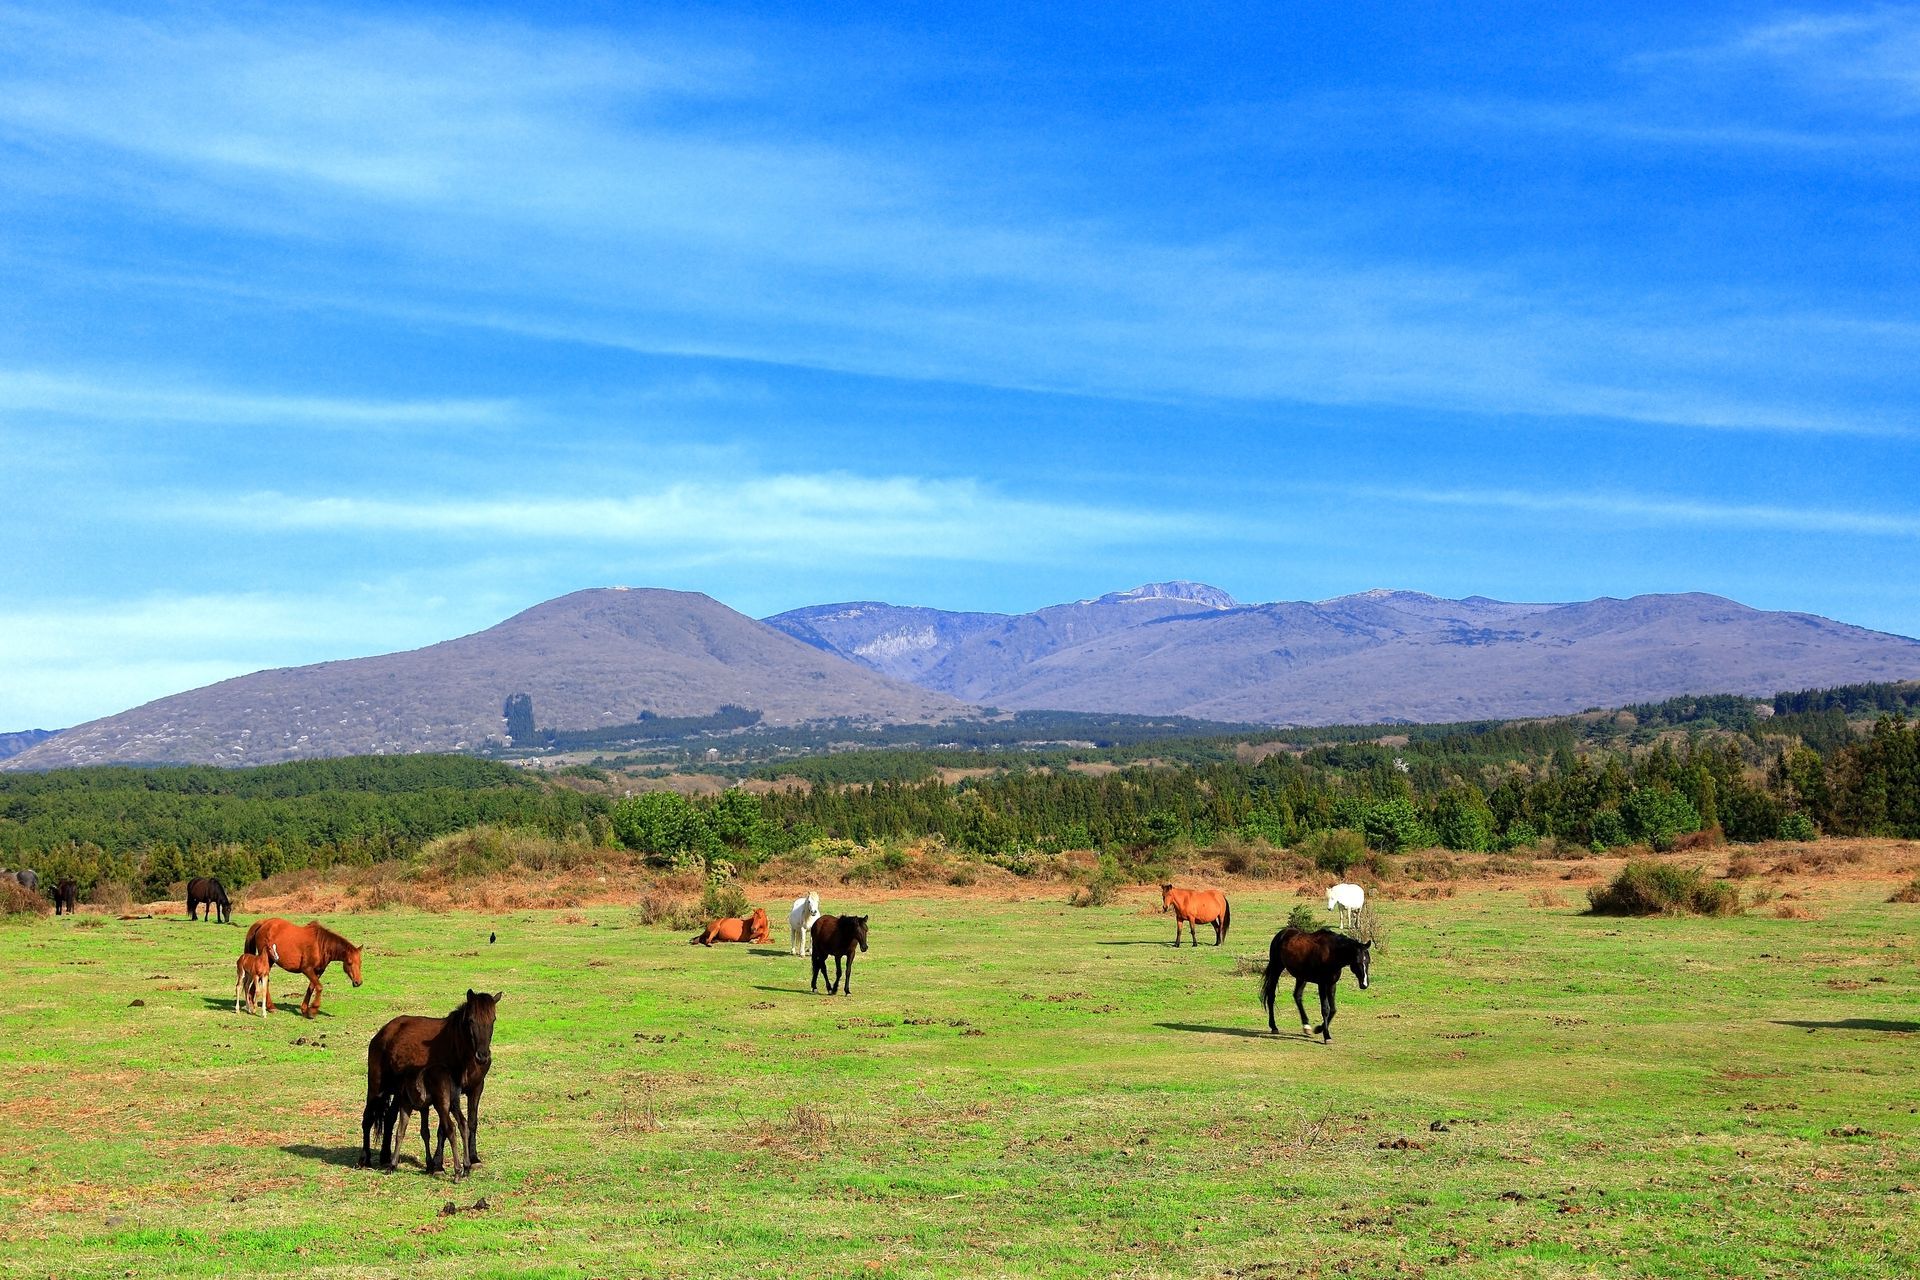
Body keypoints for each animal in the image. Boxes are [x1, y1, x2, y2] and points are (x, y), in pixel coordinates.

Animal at [362, 990, 501, 1177]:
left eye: (493, 1020)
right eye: (471, 1020)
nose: (483, 1056)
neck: (461, 1052)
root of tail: (384, 1032)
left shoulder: (476, 1088)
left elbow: (471, 1121)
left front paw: (474, 1159)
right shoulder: (443, 1096)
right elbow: (443, 1129)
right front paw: (438, 1165)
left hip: (399, 1093)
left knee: (390, 1118)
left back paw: (385, 1157)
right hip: (376, 1086)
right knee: (368, 1118)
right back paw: (364, 1159)